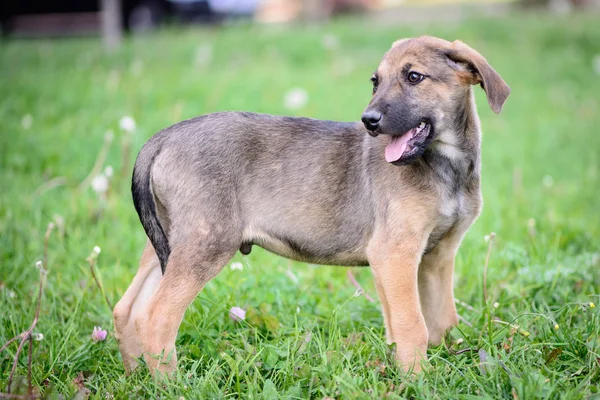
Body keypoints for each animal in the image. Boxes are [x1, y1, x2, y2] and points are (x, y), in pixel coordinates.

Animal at [112, 36, 510, 376]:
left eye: (415, 77)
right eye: (376, 81)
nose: (369, 121)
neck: (446, 166)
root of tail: (163, 138)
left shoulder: (437, 257)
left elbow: (440, 322)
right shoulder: (395, 253)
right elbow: (413, 325)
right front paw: (418, 380)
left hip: (168, 242)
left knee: (128, 310)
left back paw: (137, 378)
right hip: (205, 243)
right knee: (157, 318)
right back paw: (171, 385)